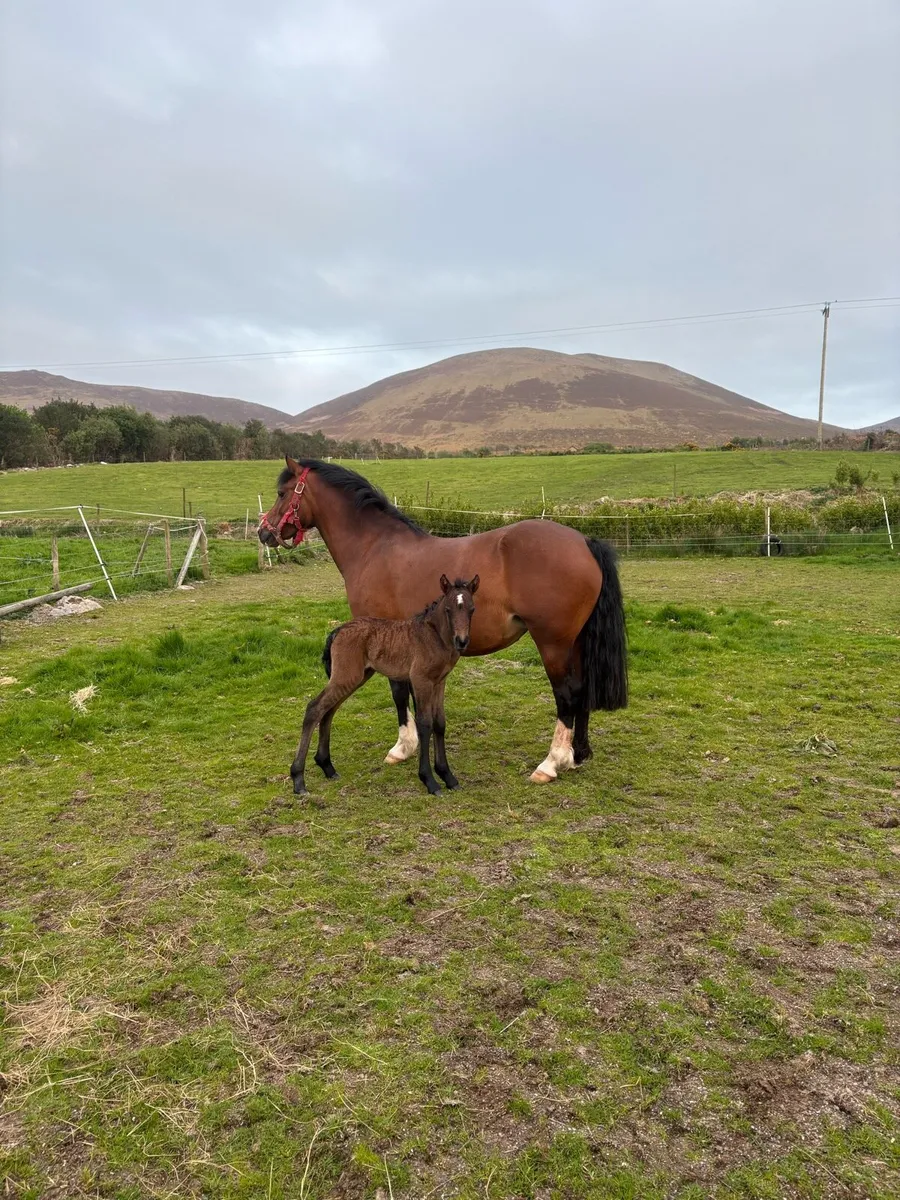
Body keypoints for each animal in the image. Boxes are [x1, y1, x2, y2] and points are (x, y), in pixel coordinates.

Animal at [290, 575, 478, 798]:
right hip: (346, 676)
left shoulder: (440, 681)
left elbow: (439, 723)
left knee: (328, 710)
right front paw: (430, 781)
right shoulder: (421, 680)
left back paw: (327, 766)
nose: (462, 641)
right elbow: (425, 724)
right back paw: (298, 780)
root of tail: (338, 630)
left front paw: (448, 776)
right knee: (315, 708)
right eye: (448, 609)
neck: (434, 636)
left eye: (472, 609)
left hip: (355, 677)